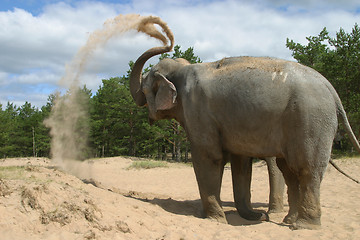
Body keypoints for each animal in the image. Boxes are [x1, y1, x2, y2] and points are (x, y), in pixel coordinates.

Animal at [127, 18, 360, 229]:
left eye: (145, 86)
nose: (167, 38)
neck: (183, 69)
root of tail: (332, 90)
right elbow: (241, 164)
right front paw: (255, 217)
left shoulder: (199, 112)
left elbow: (209, 157)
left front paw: (216, 219)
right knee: (289, 170)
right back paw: (288, 220)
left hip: (310, 120)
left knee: (307, 170)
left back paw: (304, 226)